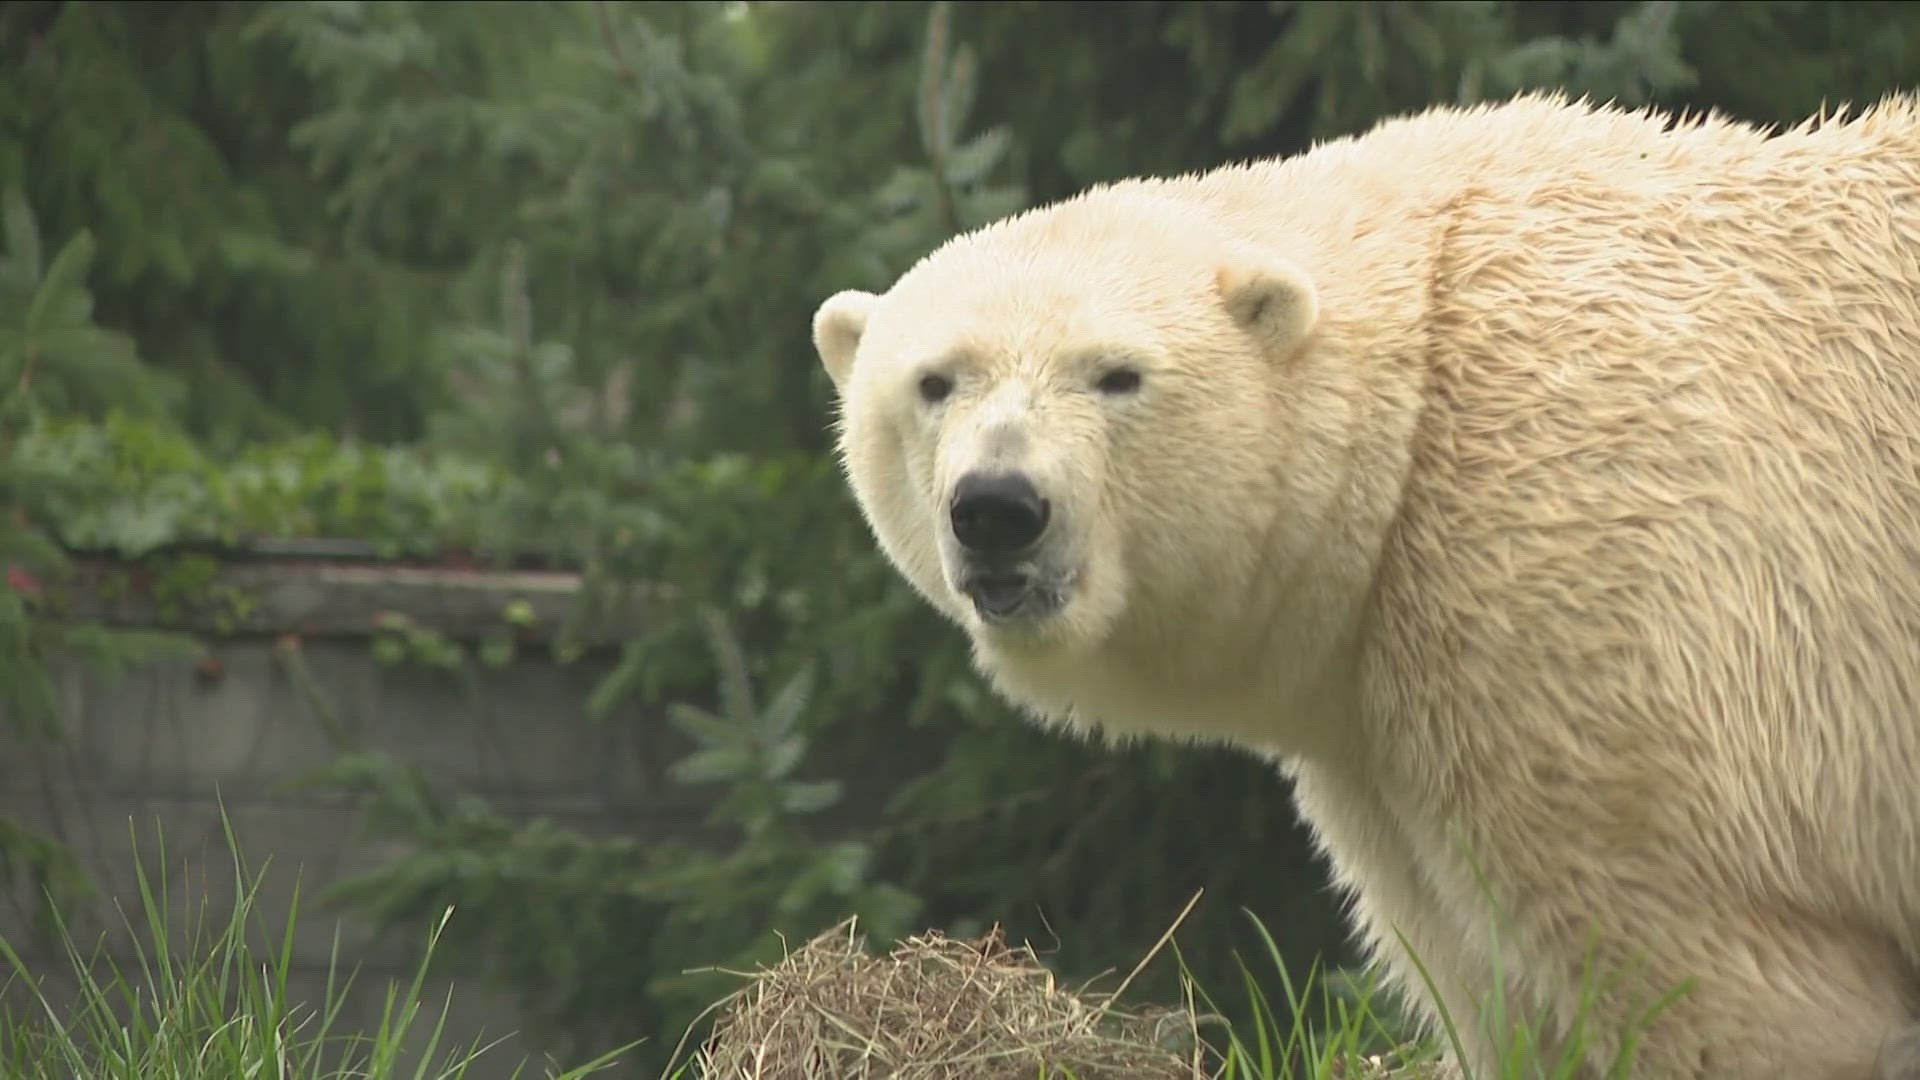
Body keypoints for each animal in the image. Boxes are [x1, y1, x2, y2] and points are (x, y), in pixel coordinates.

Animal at [806, 94, 1920, 1076]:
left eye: (1117, 374)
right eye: (935, 381)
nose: (999, 507)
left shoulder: (1591, 582)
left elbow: (1724, 982)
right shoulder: (1382, 730)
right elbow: (1495, 984)